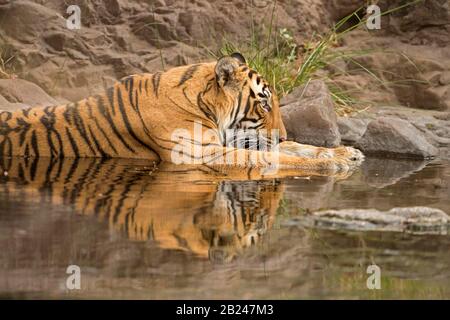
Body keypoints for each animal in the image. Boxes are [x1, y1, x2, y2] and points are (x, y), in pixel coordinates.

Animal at [0, 52, 364, 175]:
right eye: (263, 103)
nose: (283, 133)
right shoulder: (196, 153)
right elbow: (272, 159)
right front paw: (333, 164)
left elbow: (296, 149)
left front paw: (346, 153)